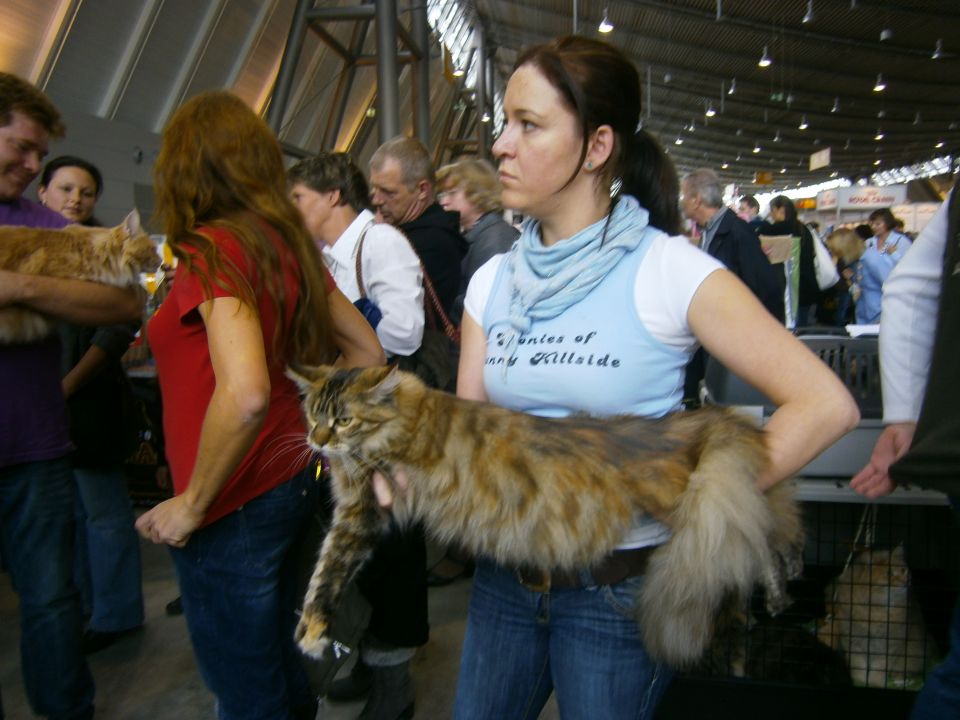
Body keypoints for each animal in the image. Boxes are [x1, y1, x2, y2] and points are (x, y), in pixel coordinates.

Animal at [288, 363, 806, 668]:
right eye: (313, 413)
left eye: (344, 420)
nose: (316, 440)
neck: (406, 416)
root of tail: (692, 421)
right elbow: (326, 569)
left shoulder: (359, 511)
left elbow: (325, 573)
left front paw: (310, 631)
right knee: (764, 524)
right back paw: (785, 585)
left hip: (698, 505)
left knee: (761, 529)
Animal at [816, 544, 935, 688]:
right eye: (889, 573)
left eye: (903, 570)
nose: (906, 582)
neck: (875, 611)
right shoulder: (854, 642)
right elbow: (859, 665)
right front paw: (859, 681)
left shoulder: (888, 645)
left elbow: (879, 667)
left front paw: (875, 683)